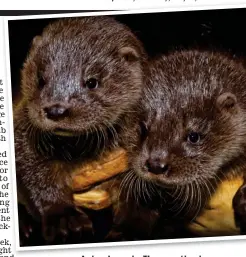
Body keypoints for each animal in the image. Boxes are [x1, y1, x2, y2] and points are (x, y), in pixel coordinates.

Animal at [13, 16, 146, 244]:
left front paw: (131, 228)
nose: (56, 110)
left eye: (92, 82)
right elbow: (36, 177)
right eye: (41, 79)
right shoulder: (22, 137)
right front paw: (64, 219)